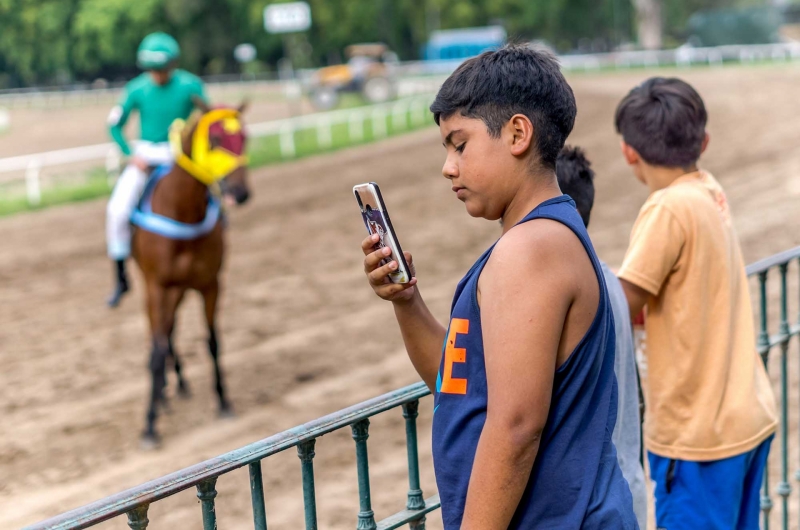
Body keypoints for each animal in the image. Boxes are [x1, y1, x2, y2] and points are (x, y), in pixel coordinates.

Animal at [133, 100, 250, 446]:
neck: (182, 210)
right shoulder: (158, 286)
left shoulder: (209, 283)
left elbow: (212, 341)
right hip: (152, 288)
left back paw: (179, 384)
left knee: (171, 329)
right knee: (158, 334)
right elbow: (157, 350)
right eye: (214, 139)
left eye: (245, 137)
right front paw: (150, 423)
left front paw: (223, 401)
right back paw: (163, 394)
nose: (240, 192)